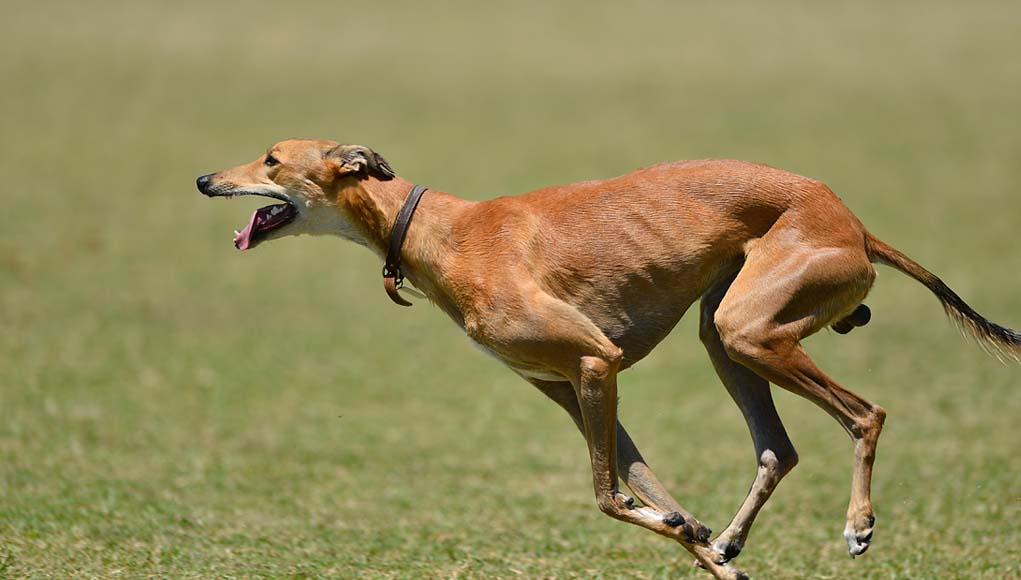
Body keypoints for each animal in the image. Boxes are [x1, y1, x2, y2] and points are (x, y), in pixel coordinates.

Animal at [195, 138, 1016, 580]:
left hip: (753, 332)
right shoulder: (568, 388)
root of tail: (852, 218)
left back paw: (858, 525)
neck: (437, 229)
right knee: (776, 450)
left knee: (865, 413)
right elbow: (652, 494)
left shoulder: (596, 361)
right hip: (726, 335)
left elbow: (605, 497)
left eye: (271, 157)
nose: (204, 178)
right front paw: (706, 546)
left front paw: (696, 537)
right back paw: (733, 535)